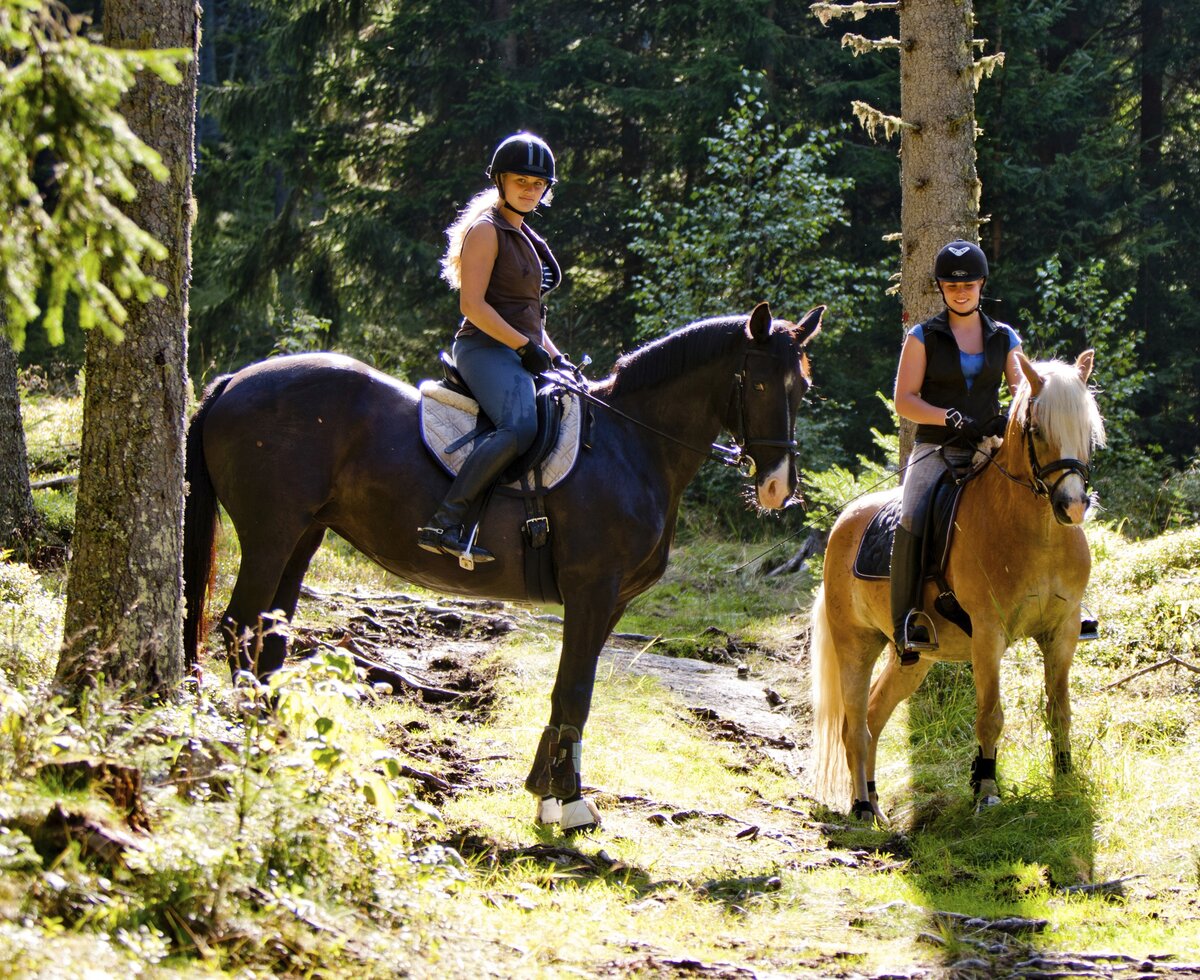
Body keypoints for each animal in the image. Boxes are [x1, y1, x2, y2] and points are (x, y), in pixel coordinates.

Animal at [184, 302, 825, 830]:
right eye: (759, 381)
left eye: (802, 387)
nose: (778, 488)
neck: (630, 446)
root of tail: (236, 381)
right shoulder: (592, 590)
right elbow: (575, 691)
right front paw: (568, 800)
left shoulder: (611, 603)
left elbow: (570, 691)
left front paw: (545, 789)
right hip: (271, 533)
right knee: (237, 627)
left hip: (304, 536)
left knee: (270, 635)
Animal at [806, 350, 1104, 820]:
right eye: (1039, 430)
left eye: (1087, 430)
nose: (1072, 506)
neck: (1036, 532)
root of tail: (840, 527)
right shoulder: (988, 634)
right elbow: (990, 716)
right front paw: (987, 791)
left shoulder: (1063, 632)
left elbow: (1060, 712)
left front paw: (1064, 783)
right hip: (856, 644)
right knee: (854, 727)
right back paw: (862, 809)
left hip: (912, 658)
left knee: (873, 716)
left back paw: (874, 800)